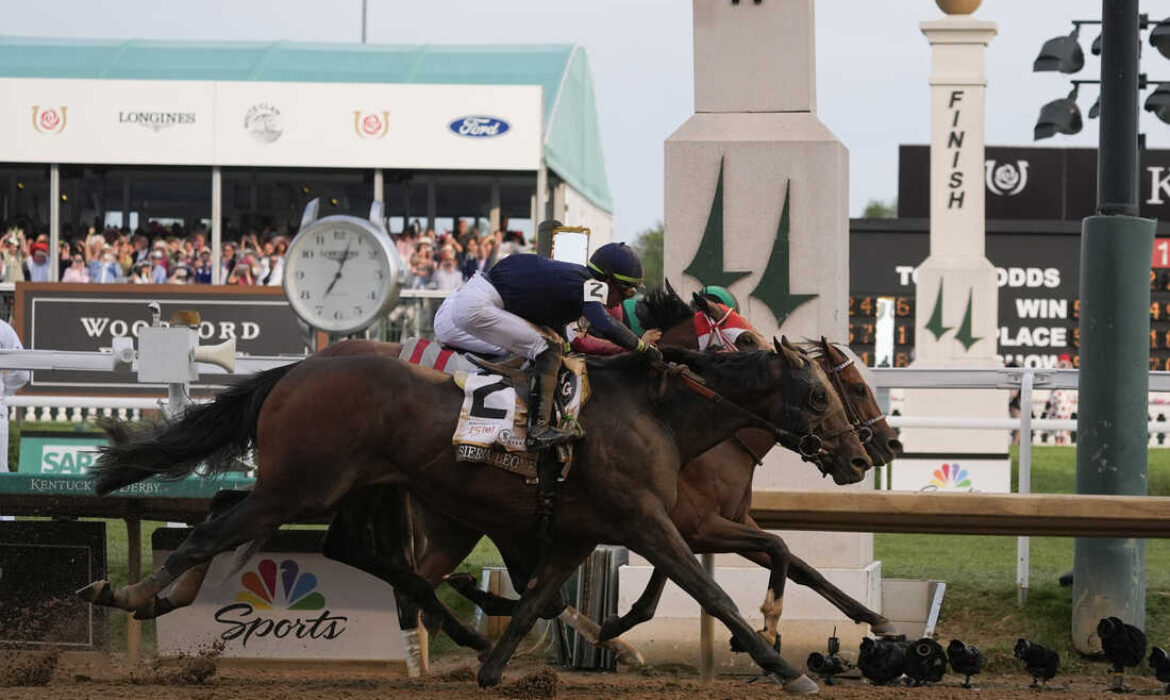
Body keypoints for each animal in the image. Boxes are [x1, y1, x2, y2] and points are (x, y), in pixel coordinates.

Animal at [82, 339, 865, 692]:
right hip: (304, 484)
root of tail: (301, 367)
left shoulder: (584, 531)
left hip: (332, 488)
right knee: (214, 529)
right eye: (822, 395)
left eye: (843, 390)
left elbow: (539, 600)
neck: (658, 412)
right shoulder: (648, 520)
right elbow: (708, 590)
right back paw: (129, 591)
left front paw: (493, 666)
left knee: (265, 526)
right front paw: (782, 664)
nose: (863, 457)